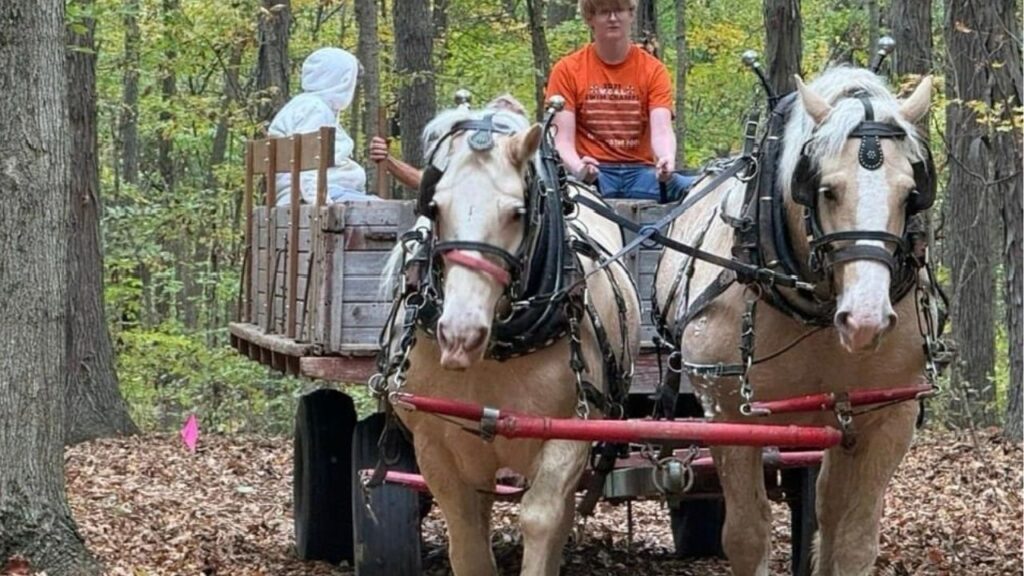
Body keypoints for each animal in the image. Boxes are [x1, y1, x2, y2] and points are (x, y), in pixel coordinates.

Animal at [379, 107, 641, 576]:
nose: (459, 336)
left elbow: (542, 518)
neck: (500, 349)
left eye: (517, 212)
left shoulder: (570, 433)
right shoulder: (435, 446)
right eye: (434, 206)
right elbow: (467, 537)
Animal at [653, 66, 935, 575]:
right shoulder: (728, 416)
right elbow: (747, 536)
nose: (865, 320)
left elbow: (852, 540)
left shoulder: (889, 415)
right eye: (826, 190)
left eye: (911, 194)